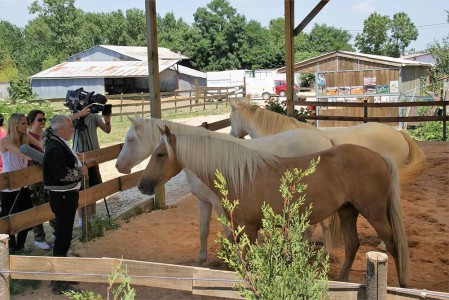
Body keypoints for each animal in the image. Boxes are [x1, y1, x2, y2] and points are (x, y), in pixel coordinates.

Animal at [114, 116, 332, 264]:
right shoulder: (204, 201)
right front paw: (201, 259)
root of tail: (325, 140)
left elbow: (229, 233)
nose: (118, 166)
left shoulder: (221, 204)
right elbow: (203, 230)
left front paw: (234, 258)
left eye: (130, 139)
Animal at [139, 126, 410, 288]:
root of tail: (380, 157)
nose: (142, 185)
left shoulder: (248, 228)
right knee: (353, 245)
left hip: (374, 213)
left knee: (393, 245)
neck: (241, 175)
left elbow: (247, 264)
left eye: (160, 154)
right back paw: (343, 282)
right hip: (347, 211)